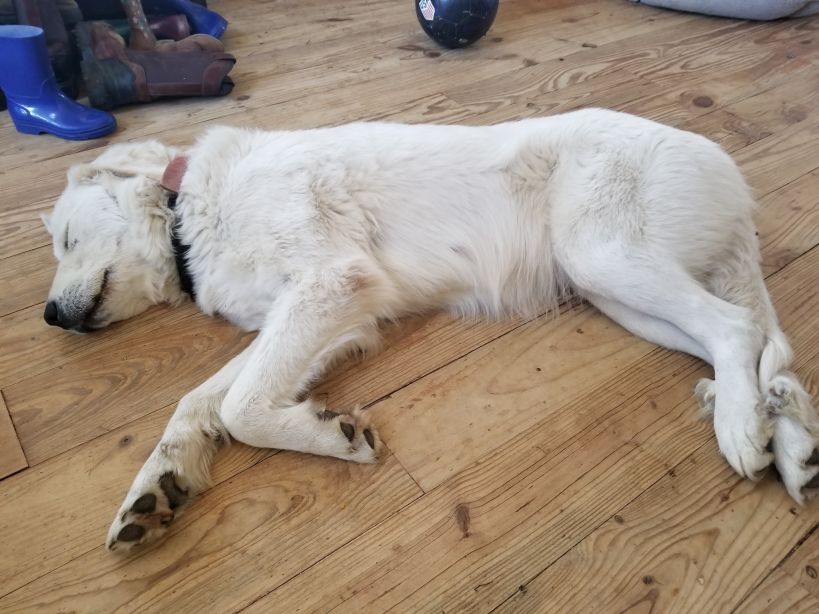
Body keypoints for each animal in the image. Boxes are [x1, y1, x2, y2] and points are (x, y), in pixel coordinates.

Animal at [41, 108, 817, 552]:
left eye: (66, 240)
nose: (50, 316)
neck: (189, 206)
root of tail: (731, 180)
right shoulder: (318, 317)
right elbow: (200, 403)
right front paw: (154, 492)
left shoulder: (330, 283)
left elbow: (238, 407)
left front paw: (332, 435)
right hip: (611, 288)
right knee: (748, 341)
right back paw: (781, 435)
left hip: (607, 257)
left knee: (736, 326)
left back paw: (742, 431)